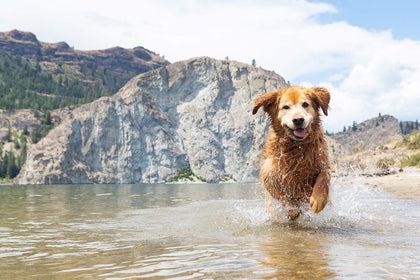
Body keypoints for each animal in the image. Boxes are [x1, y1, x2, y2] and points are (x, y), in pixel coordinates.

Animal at [253, 85, 332, 221]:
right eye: (285, 107)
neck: (296, 147)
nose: (298, 120)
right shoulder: (268, 176)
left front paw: (318, 201)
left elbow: (324, 176)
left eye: (305, 104)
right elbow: (282, 197)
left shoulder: (322, 163)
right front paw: (292, 211)